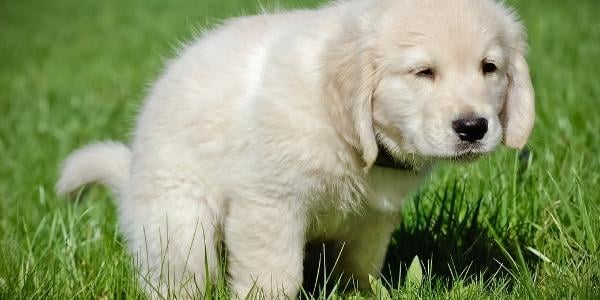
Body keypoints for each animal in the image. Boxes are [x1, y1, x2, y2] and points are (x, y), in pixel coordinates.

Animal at [56, 0, 536, 298]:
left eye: (489, 67)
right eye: (423, 72)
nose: (473, 127)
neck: (348, 133)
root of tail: (131, 174)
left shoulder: (374, 218)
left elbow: (362, 268)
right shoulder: (269, 204)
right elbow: (274, 277)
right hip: (179, 224)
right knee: (180, 275)